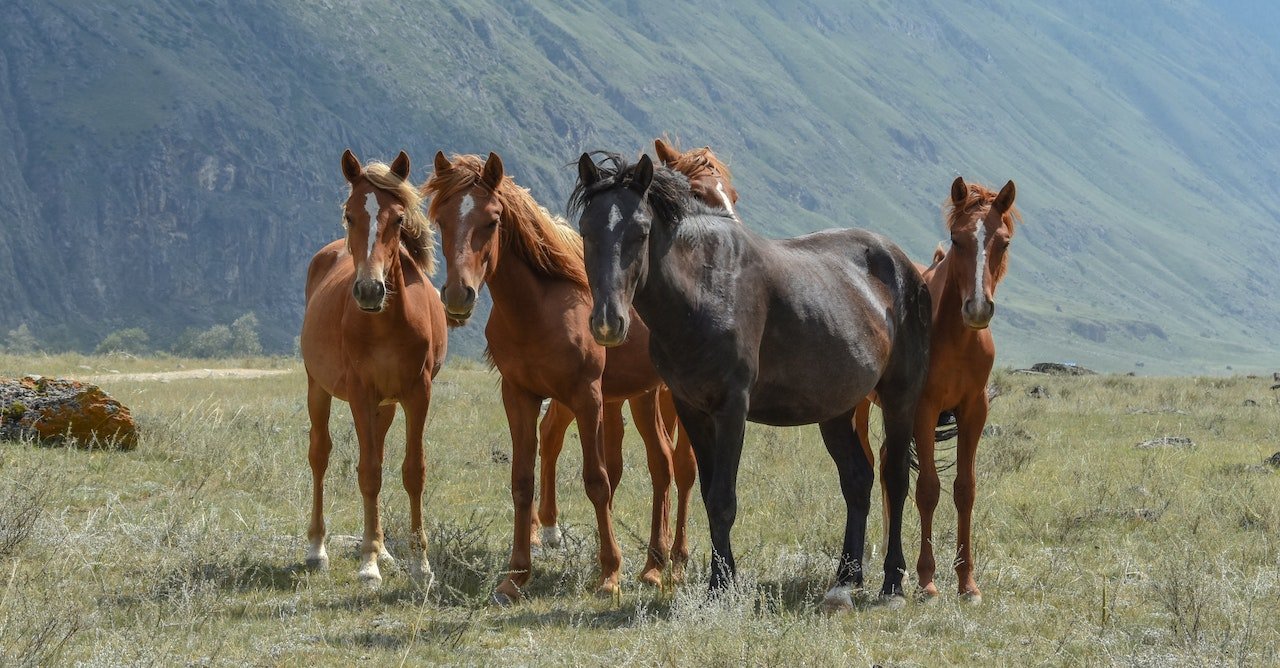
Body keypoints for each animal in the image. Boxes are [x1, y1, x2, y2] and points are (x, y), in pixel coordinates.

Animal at [296, 148, 448, 586]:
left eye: (398, 219)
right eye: (350, 215)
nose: (368, 290)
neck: (386, 323)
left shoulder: (417, 394)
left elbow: (412, 471)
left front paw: (419, 563)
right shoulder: (360, 394)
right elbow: (368, 473)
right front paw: (367, 565)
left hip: (387, 405)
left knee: (376, 452)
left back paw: (384, 549)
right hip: (319, 389)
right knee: (320, 454)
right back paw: (318, 549)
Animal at [535, 136, 742, 570]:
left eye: (732, 196)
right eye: (697, 194)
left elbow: (678, 465)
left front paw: (672, 554)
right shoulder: (647, 393)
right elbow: (657, 464)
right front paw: (659, 558)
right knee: (551, 434)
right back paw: (543, 528)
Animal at [570, 152, 931, 604]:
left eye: (641, 232)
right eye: (586, 230)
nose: (607, 323)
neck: (705, 289)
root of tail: (904, 266)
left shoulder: (732, 409)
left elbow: (723, 499)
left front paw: (722, 586)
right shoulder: (692, 409)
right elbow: (709, 493)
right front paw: (719, 579)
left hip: (901, 396)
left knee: (894, 479)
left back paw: (893, 582)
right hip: (835, 409)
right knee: (858, 480)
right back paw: (846, 579)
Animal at [860, 174, 1018, 601]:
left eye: (1003, 241)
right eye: (956, 238)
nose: (977, 307)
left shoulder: (974, 410)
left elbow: (965, 489)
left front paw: (967, 582)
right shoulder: (925, 408)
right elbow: (928, 488)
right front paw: (927, 579)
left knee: (887, 465)